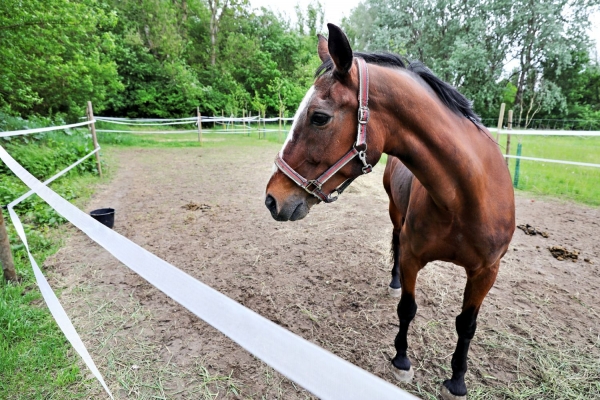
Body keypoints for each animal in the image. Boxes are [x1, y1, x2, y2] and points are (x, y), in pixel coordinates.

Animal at [264, 23, 512, 398]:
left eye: (319, 117)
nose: (272, 199)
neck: (465, 199)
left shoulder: (486, 271)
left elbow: (466, 324)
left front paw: (457, 379)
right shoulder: (411, 256)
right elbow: (407, 307)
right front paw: (402, 360)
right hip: (396, 213)